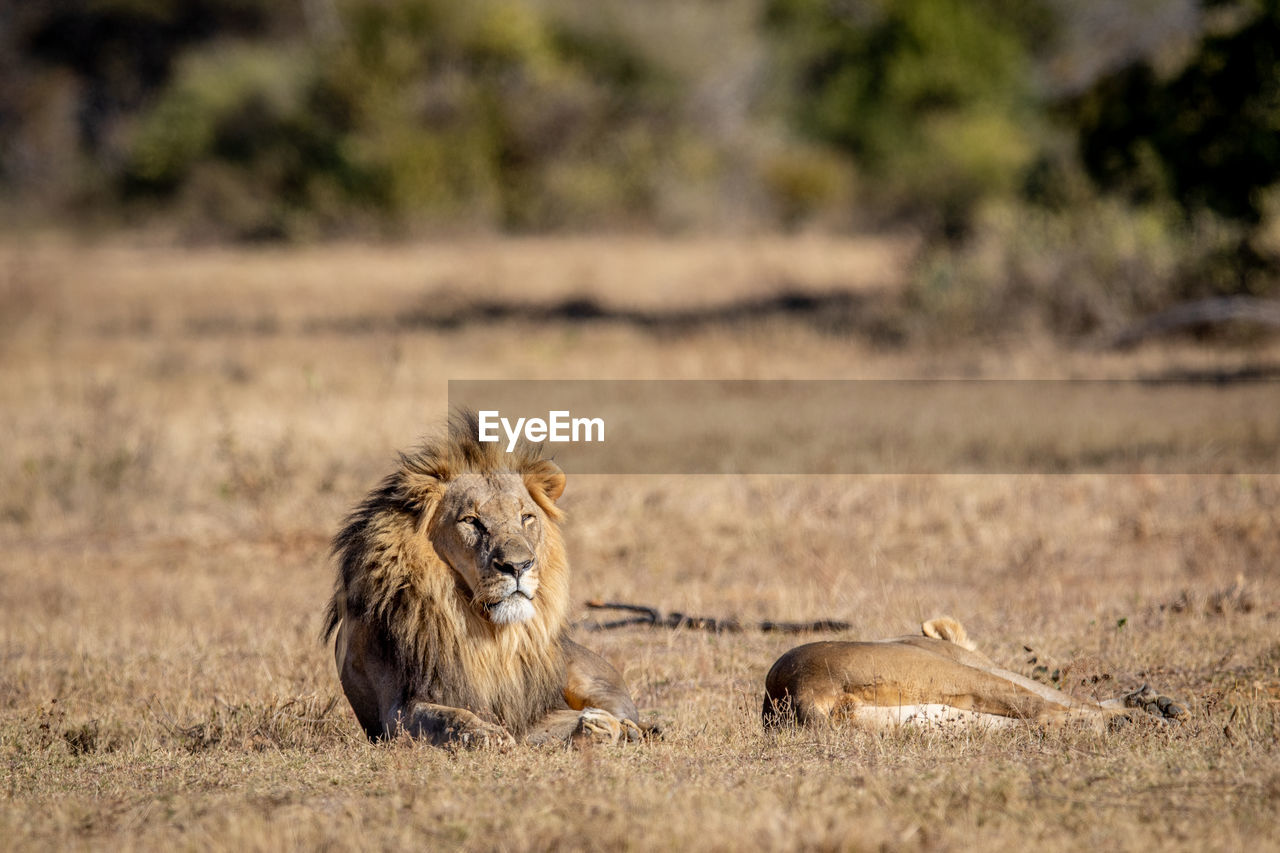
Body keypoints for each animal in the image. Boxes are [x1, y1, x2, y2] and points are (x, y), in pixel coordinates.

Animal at [325, 412, 645, 742]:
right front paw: (483, 733)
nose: (518, 566)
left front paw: (601, 726)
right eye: (472, 521)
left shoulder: (530, 712)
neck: (489, 633)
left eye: (526, 518)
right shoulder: (397, 711)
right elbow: (446, 716)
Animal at [757, 614, 1187, 727]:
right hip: (957, 675)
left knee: (1034, 722)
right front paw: (1149, 701)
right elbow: (1055, 693)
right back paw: (1135, 721)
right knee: (1040, 708)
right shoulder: (974, 663)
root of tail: (794, 689)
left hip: (932, 716)